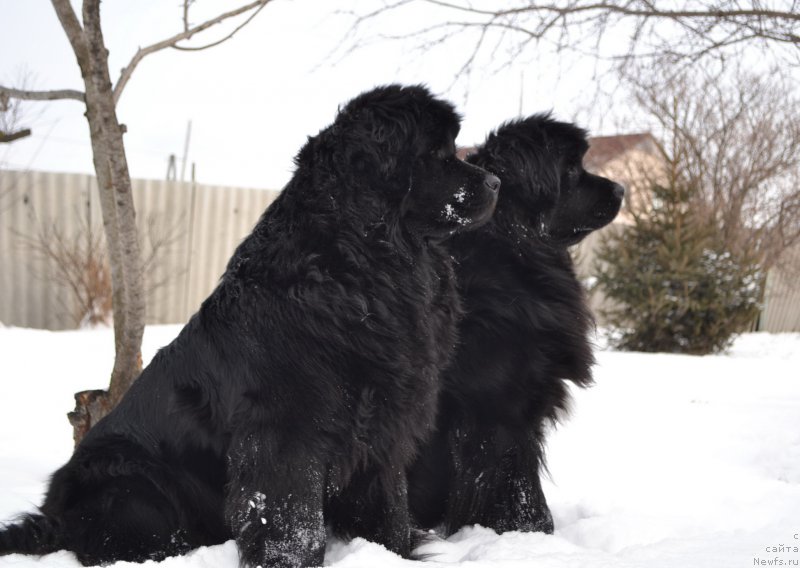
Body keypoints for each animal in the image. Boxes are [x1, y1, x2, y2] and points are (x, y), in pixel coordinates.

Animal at [1, 85, 500, 568]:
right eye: (437, 153)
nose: (495, 181)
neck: (359, 265)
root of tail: (54, 513)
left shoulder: (383, 421)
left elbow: (386, 499)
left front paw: (393, 552)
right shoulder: (285, 434)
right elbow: (292, 520)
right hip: (129, 481)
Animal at [406, 114, 624, 536]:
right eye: (570, 170)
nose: (622, 187)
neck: (514, 252)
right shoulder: (500, 411)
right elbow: (519, 481)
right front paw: (531, 532)